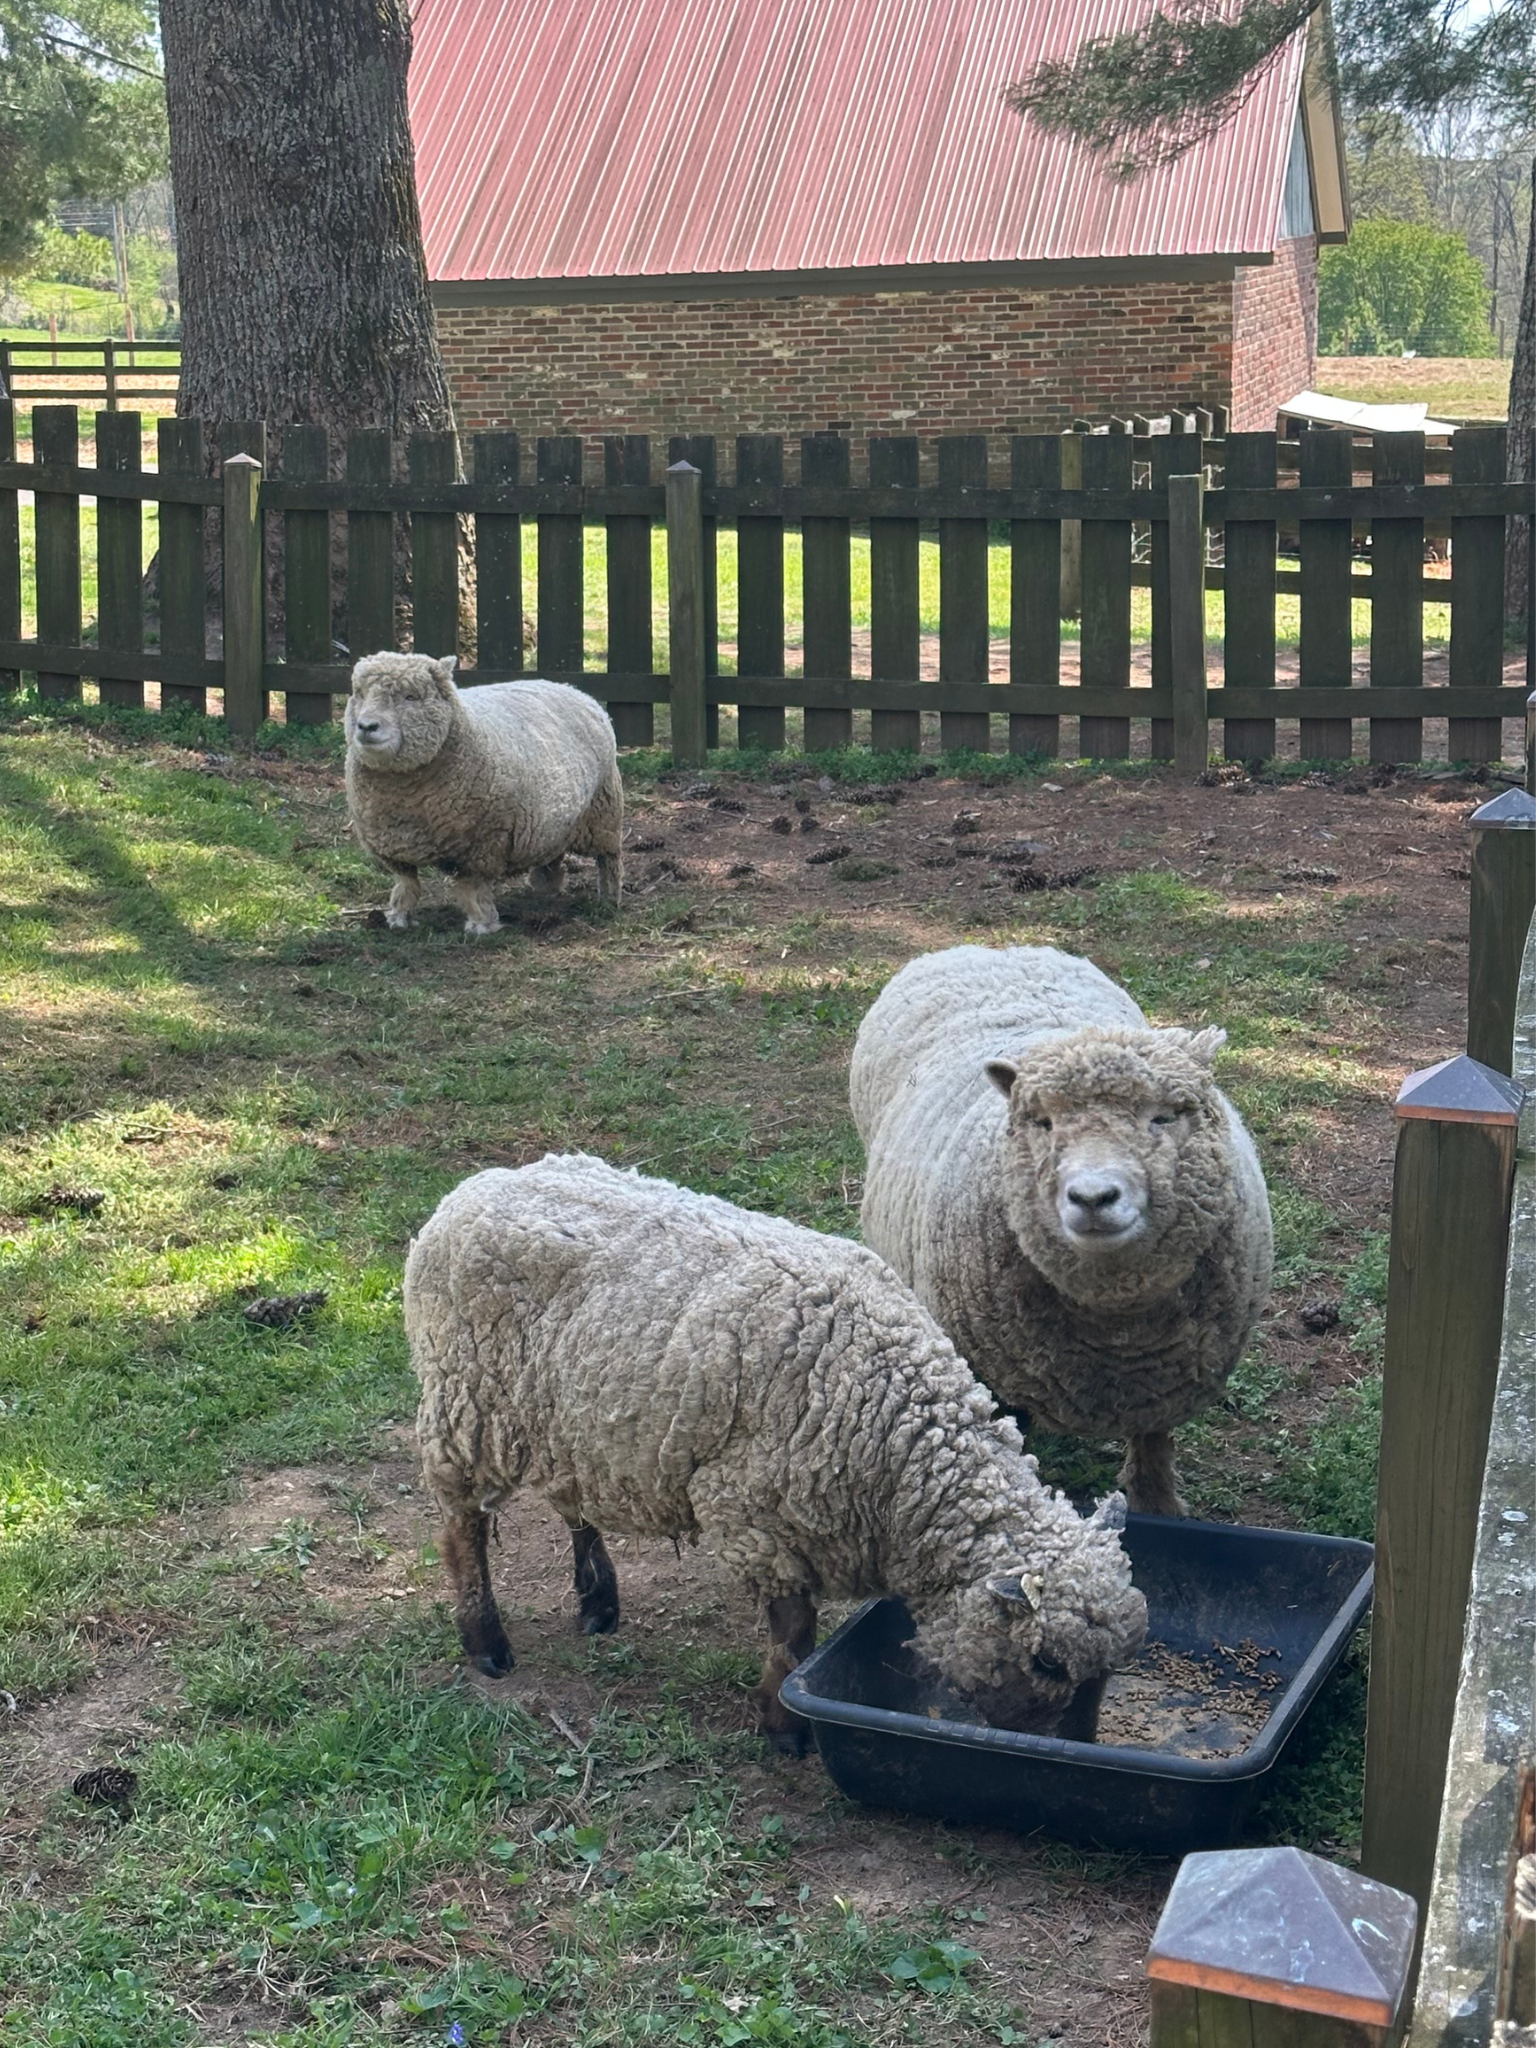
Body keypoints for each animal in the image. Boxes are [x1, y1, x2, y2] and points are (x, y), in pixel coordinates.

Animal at [344, 653, 623, 934]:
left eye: (411, 697)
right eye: (360, 693)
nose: (366, 726)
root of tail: (570, 688)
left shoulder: (483, 846)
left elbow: (472, 889)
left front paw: (481, 925)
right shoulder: (394, 846)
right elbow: (406, 883)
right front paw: (399, 917)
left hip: (603, 811)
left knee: (608, 859)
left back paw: (609, 898)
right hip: (554, 822)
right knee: (551, 853)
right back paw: (546, 885)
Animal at [405, 1153, 1147, 1753]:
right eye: (1047, 1664)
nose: (1074, 1752)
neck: (903, 1439)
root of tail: (475, 1188)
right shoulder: (758, 1517)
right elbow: (794, 1633)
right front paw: (785, 1726)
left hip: (568, 1419)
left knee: (571, 1500)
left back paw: (598, 1603)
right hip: (467, 1403)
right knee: (462, 1527)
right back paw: (486, 1643)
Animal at [850, 945, 1272, 1519]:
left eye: (1163, 1117)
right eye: (1044, 1123)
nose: (1093, 1198)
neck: (1120, 1328)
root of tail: (995, 949)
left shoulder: (1165, 1385)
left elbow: (1153, 1446)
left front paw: (1157, 1503)